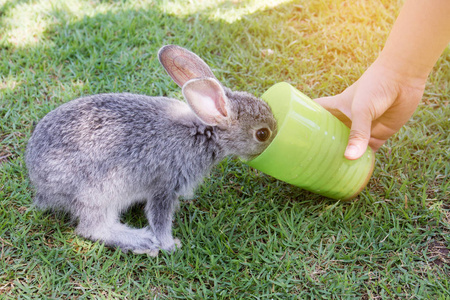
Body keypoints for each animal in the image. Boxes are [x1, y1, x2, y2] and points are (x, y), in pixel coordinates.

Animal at [26, 45, 276, 255]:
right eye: (262, 134)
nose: (274, 138)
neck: (204, 132)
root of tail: (40, 182)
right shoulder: (165, 185)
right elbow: (159, 219)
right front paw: (171, 245)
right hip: (98, 193)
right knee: (92, 228)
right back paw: (141, 241)